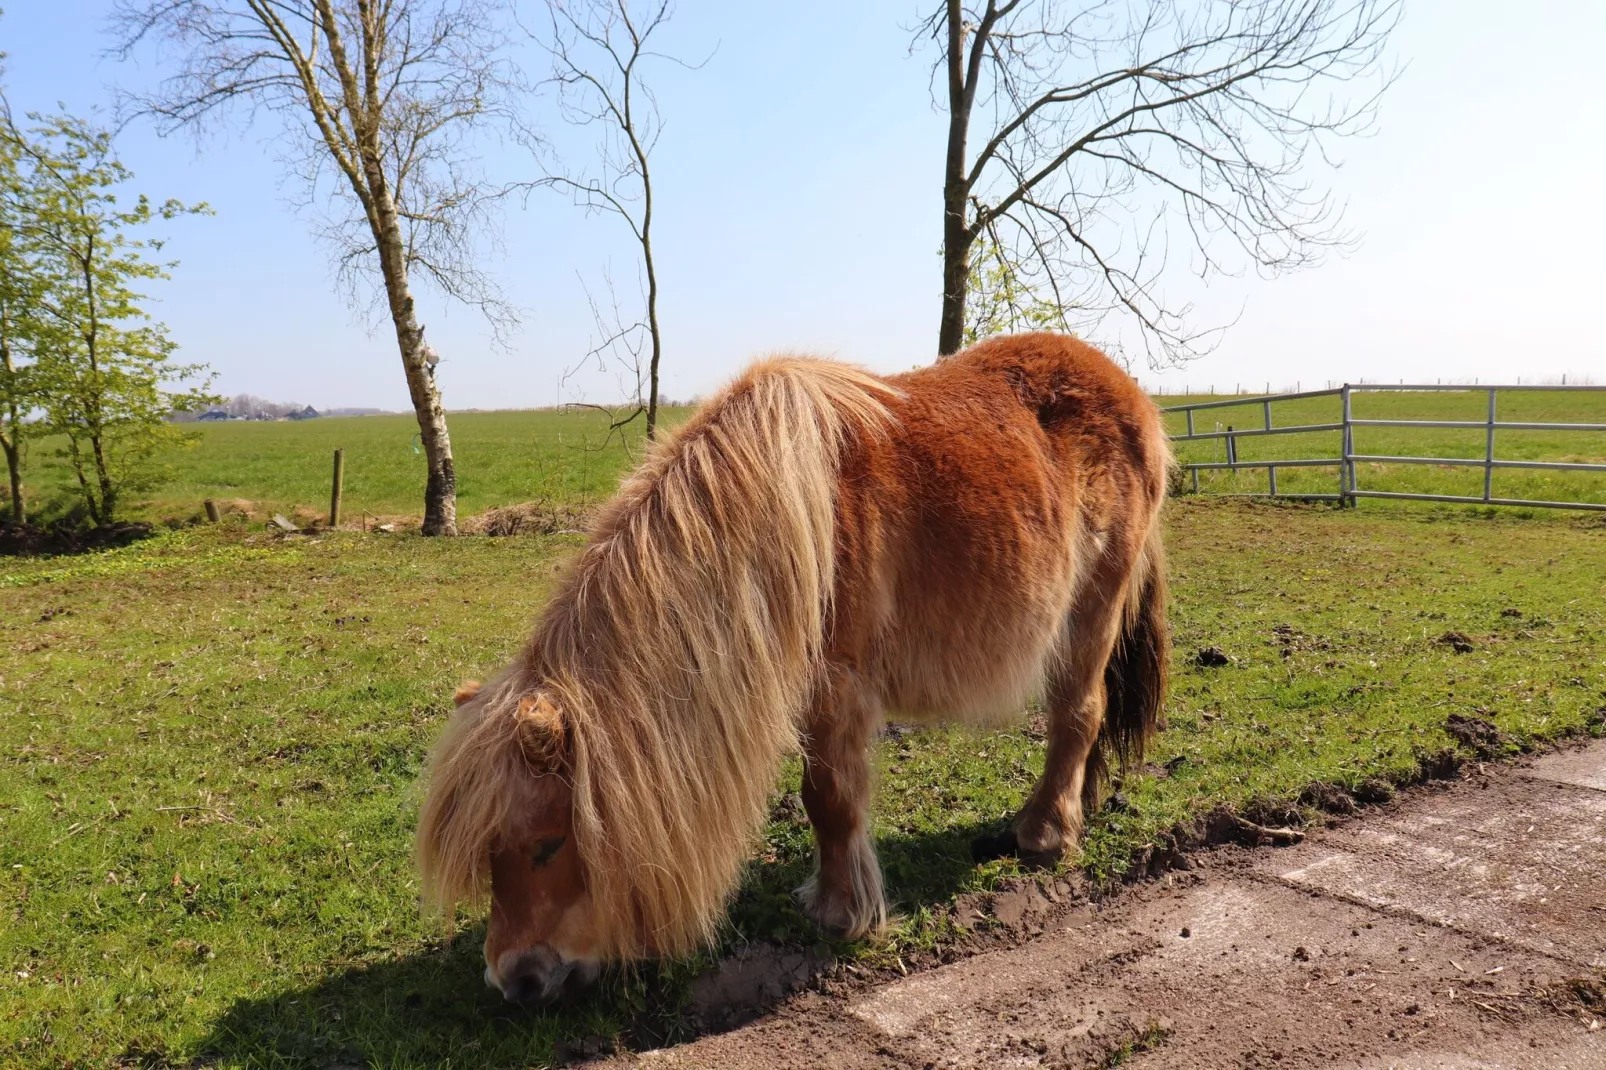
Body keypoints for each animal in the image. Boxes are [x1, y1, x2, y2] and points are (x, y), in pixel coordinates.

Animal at [414, 330, 1169, 1002]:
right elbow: (821, 799)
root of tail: (1135, 397)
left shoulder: (840, 687)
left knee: (1078, 715)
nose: (514, 980)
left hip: (1090, 612)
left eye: (546, 845)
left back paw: (1043, 833)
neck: (791, 510)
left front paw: (841, 913)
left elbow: (830, 796)